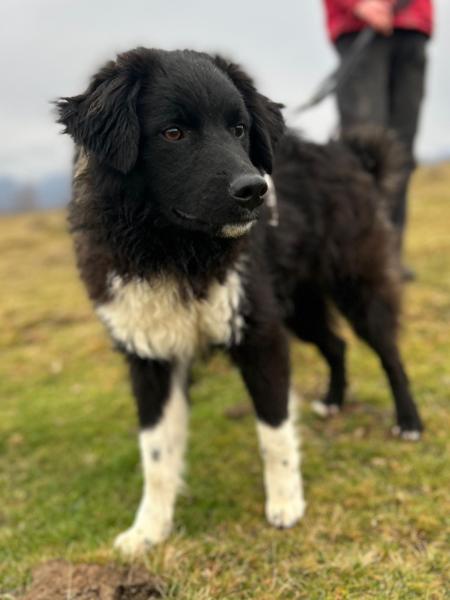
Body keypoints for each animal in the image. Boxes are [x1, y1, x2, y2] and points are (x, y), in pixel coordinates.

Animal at [56, 47, 422, 555]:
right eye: (173, 132)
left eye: (239, 129)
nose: (255, 191)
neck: (173, 250)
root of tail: (347, 153)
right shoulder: (150, 355)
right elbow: (156, 452)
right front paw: (149, 529)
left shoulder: (259, 335)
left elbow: (274, 428)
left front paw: (286, 504)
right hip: (299, 307)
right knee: (336, 345)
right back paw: (332, 400)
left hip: (354, 288)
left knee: (389, 355)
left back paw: (408, 421)